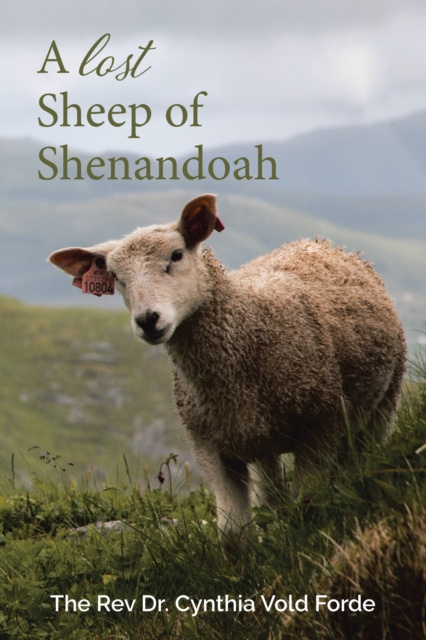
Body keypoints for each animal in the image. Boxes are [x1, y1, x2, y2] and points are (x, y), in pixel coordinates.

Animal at [48, 193, 406, 553]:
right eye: (114, 275)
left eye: (176, 255)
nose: (147, 320)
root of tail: (319, 242)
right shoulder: (209, 444)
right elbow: (234, 535)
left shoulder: (322, 424)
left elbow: (308, 504)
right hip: (260, 439)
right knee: (270, 492)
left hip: (385, 401)